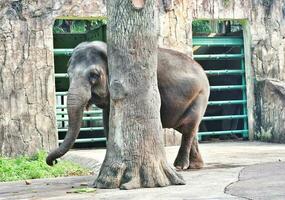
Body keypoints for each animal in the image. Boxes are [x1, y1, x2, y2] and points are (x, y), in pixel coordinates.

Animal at [46, 41, 209, 170]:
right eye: (68, 74)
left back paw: (180, 166)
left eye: (94, 75)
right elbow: (108, 123)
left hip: (200, 97)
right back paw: (195, 165)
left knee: (188, 128)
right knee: (188, 129)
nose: (53, 162)